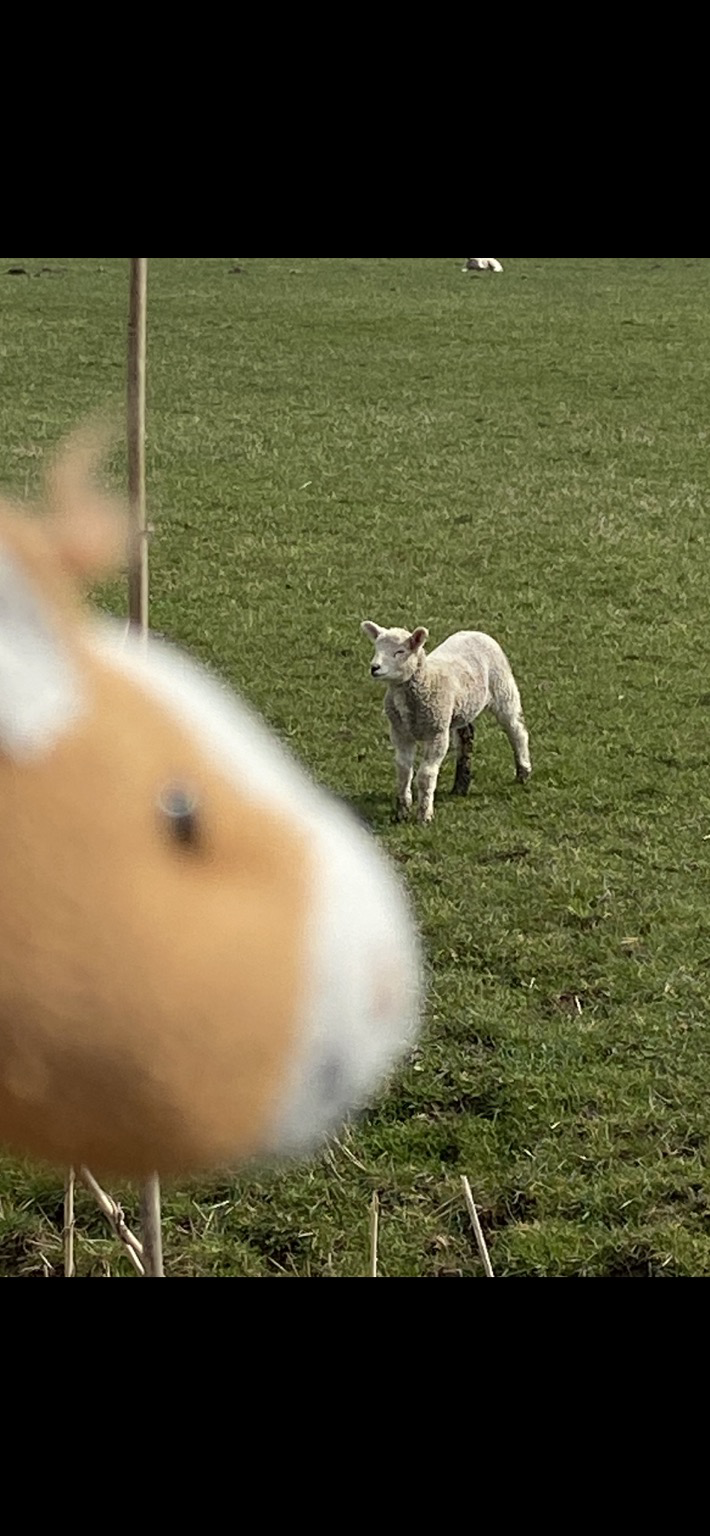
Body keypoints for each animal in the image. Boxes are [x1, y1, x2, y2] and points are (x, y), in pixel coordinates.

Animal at [361, 622, 531, 825]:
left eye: (400, 651)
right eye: (377, 648)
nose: (374, 668)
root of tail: (475, 632)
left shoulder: (437, 733)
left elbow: (426, 775)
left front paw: (424, 815)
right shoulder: (400, 733)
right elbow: (403, 772)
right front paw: (401, 813)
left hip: (503, 688)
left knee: (517, 730)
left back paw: (523, 772)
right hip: (462, 707)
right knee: (466, 736)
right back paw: (460, 785)